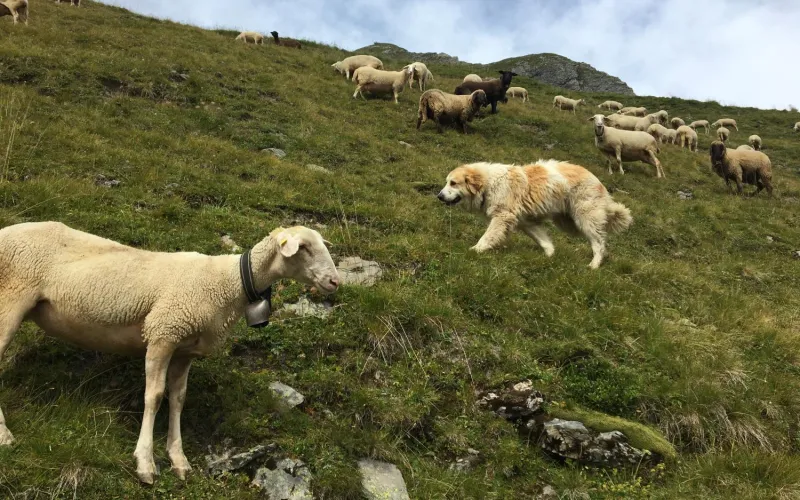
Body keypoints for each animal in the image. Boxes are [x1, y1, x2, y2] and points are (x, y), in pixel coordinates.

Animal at [0, 222, 341, 484]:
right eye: (305, 248)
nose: (335, 281)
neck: (227, 282)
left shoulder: (184, 349)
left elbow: (177, 398)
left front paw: (178, 458)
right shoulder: (163, 331)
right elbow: (153, 396)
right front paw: (145, 462)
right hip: (11, 299)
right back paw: (4, 435)